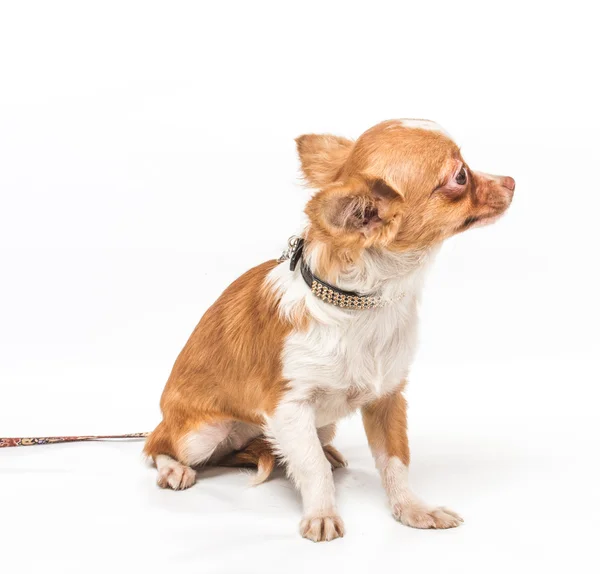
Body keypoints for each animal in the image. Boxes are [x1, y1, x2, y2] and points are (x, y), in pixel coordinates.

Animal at [145, 118, 516, 544]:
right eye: (460, 177)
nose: (512, 180)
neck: (363, 307)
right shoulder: (289, 406)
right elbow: (311, 467)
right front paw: (321, 513)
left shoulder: (388, 398)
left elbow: (396, 461)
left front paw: (412, 509)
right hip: (202, 432)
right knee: (157, 443)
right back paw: (174, 468)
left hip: (319, 427)